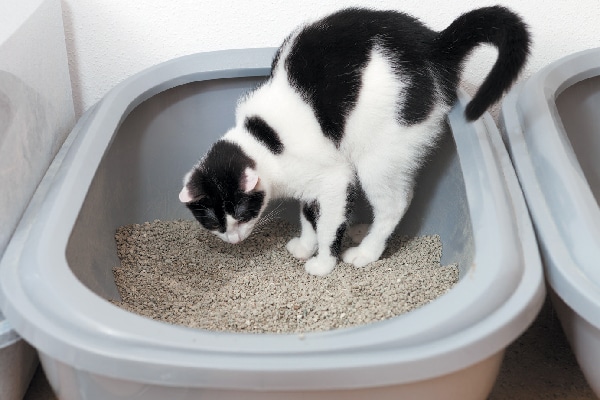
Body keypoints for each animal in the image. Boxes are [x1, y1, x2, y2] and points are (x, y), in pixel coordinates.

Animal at [178, 5, 528, 276]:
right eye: (212, 221)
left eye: (240, 212)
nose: (233, 239)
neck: (263, 141)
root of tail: (435, 45)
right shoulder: (311, 185)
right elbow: (310, 216)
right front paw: (306, 245)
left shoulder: (334, 178)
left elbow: (328, 224)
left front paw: (323, 262)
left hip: (377, 155)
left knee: (395, 204)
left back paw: (366, 252)